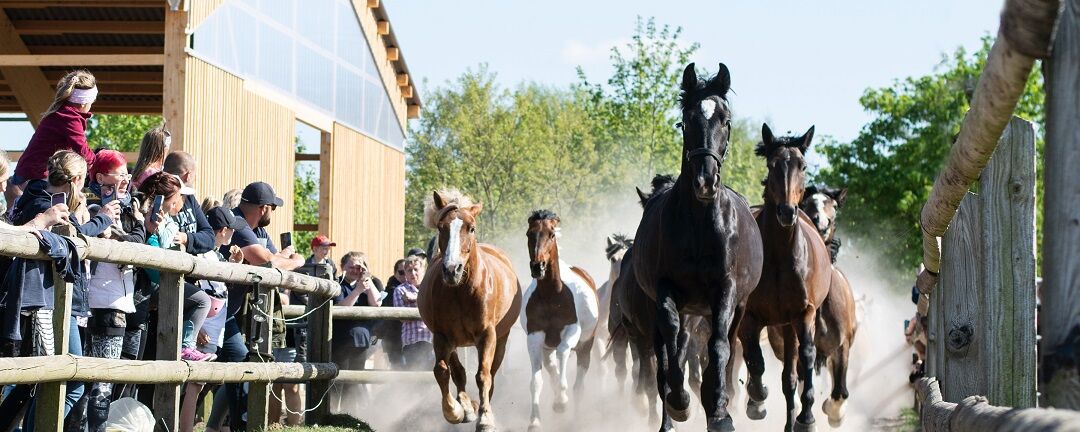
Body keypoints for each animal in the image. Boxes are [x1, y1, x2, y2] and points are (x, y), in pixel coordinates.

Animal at [417, 189, 523, 432]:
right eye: (441, 227)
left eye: (471, 228)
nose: (451, 270)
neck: (461, 291)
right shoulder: (442, 336)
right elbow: (442, 371)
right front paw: (455, 411)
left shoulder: (487, 335)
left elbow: (483, 375)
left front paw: (485, 418)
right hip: (454, 341)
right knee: (457, 372)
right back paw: (466, 407)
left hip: (501, 339)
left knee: (491, 373)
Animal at [522, 210, 600, 432]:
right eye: (529, 234)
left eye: (551, 234)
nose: (537, 266)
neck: (551, 296)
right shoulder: (535, 337)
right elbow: (536, 381)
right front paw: (535, 421)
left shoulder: (572, 330)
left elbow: (563, 351)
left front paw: (561, 401)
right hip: (546, 346)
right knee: (550, 365)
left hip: (585, 346)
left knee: (578, 385)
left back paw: (573, 416)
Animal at [631, 62, 764, 432]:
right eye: (687, 120)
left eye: (726, 119)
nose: (706, 181)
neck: (701, 226)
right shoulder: (665, 292)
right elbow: (671, 348)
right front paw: (681, 403)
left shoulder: (727, 290)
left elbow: (719, 347)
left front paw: (718, 411)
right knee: (668, 352)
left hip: (735, 308)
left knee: (727, 346)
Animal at [740, 124, 833, 432]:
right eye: (772, 165)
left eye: (802, 166)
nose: (787, 212)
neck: (780, 256)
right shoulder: (750, 316)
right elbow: (754, 359)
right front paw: (757, 401)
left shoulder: (804, 314)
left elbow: (807, 358)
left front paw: (807, 418)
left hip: (790, 325)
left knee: (791, 375)